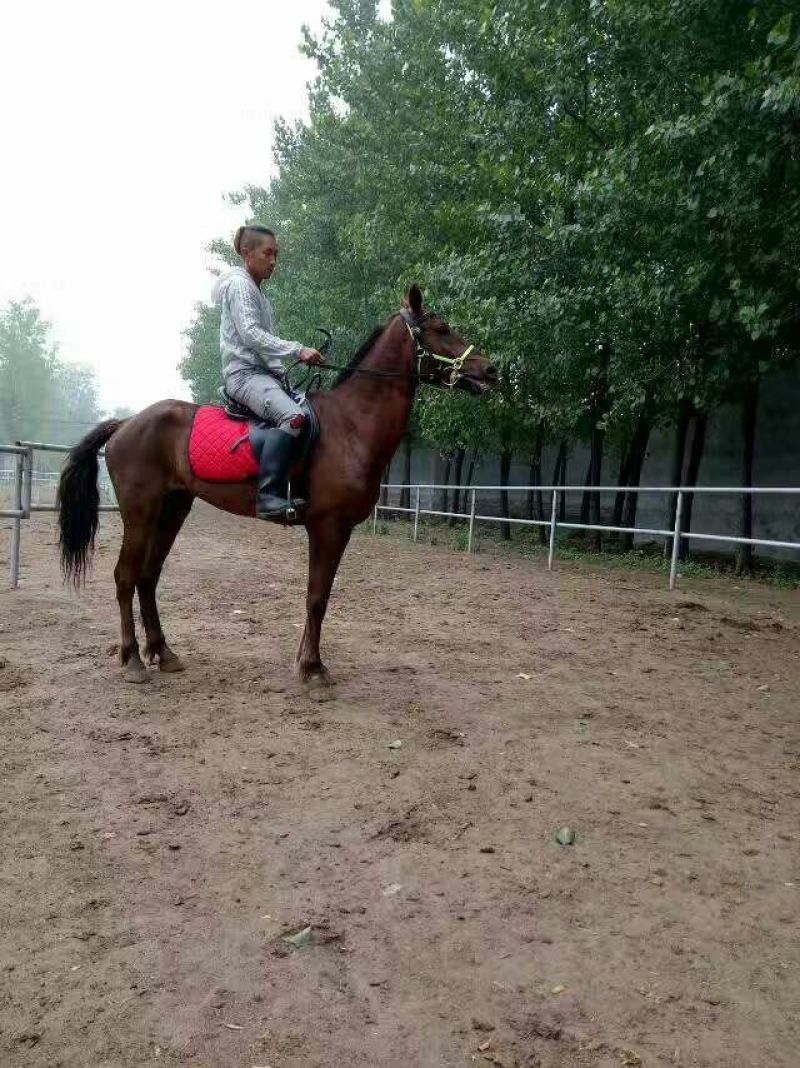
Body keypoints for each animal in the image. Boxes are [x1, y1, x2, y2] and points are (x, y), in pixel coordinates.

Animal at [57, 284, 497, 696]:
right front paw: (314, 670)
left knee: (148, 577)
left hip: (172, 510)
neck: (350, 425)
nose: (490, 370)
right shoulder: (329, 527)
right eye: (442, 328)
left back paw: (163, 653)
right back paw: (132, 660)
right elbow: (317, 598)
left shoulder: (337, 530)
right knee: (125, 576)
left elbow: (318, 596)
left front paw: (304, 662)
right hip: (140, 513)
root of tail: (127, 423)